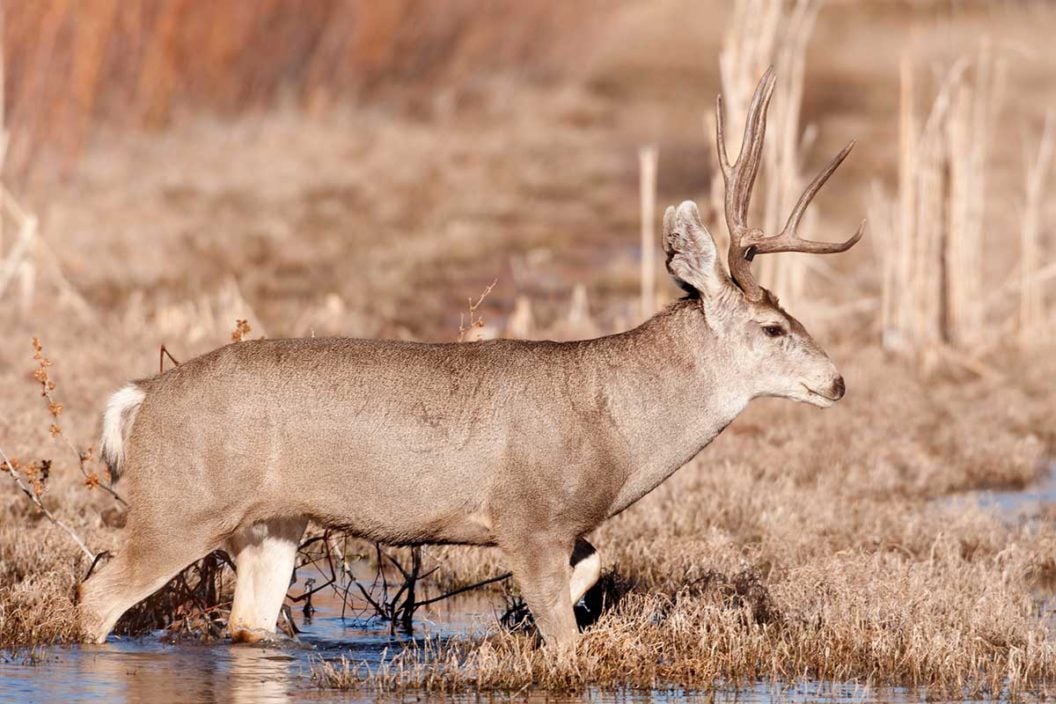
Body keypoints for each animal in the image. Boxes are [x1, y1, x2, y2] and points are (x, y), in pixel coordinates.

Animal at [78, 70, 861, 650]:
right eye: (772, 327)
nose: (837, 380)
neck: (616, 421)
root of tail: (145, 392)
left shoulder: (561, 529)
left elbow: (594, 567)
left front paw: (509, 622)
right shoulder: (530, 517)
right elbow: (564, 637)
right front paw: (530, 630)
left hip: (274, 519)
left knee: (247, 624)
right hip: (181, 504)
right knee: (95, 598)